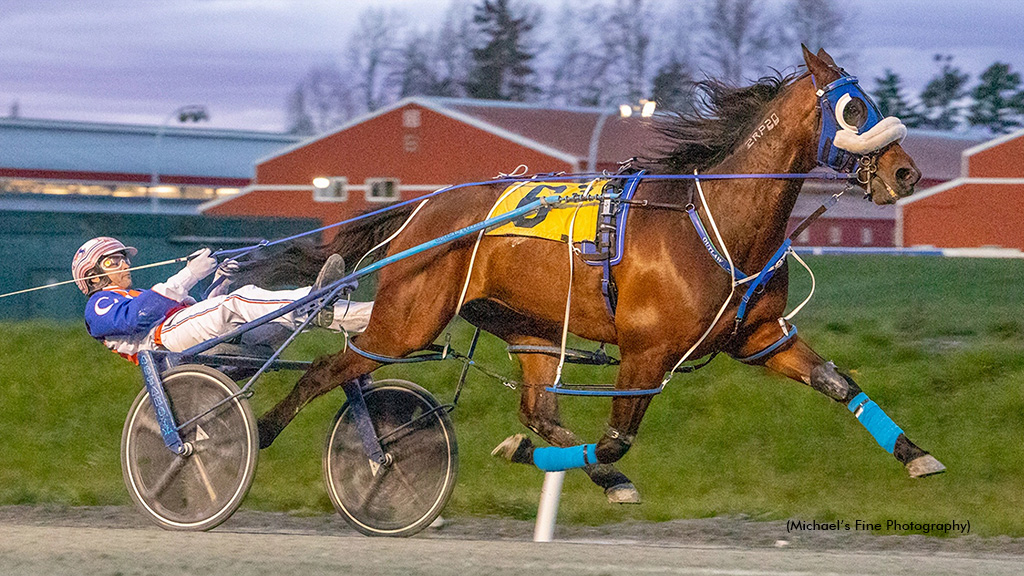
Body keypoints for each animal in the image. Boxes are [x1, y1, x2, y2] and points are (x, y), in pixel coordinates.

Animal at [245, 47, 942, 500]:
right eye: (854, 111)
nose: (906, 172)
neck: (714, 219)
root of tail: (420, 208)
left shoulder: (760, 335)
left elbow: (838, 382)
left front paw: (917, 454)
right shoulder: (647, 351)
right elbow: (615, 438)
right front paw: (568, 463)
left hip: (527, 327)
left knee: (536, 407)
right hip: (407, 321)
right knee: (329, 367)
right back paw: (258, 429)